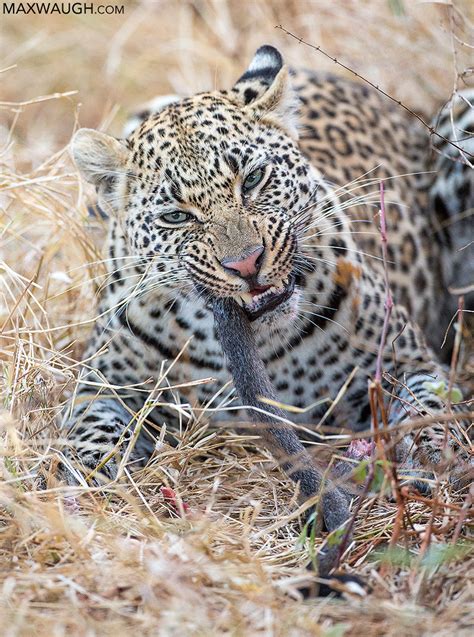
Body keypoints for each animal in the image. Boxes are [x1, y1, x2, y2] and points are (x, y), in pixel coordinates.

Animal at [65, 44, 470, 506]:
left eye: (254, 179)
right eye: (176, 217)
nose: (246, 263)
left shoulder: (407, 358)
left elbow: (430, 403)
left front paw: (438, 458)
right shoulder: (102, 385)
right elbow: (88, 432)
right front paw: (84, 482)